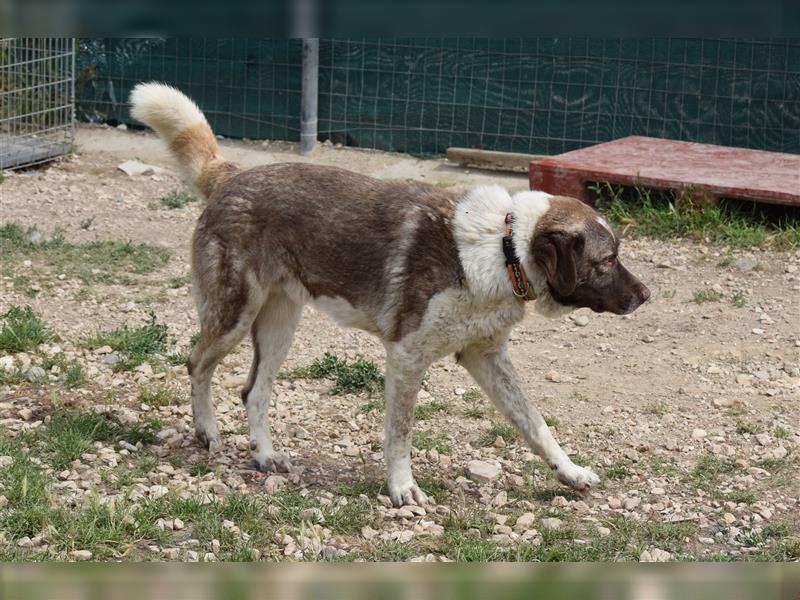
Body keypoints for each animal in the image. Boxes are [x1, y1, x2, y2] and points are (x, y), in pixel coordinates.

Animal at [130, 83, 648, 506]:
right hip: (235, 316)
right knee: (197, 363)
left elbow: (535, 423)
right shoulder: (406, 358)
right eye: (606, 261)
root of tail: (231, 175)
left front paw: (570, 472)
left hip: (280, 325)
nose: (645, 294)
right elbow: (400, 434)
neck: (504, 249)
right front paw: (402, 489)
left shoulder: (485, 356)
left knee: (253, 390)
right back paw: (206, 431)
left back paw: (265, 456)